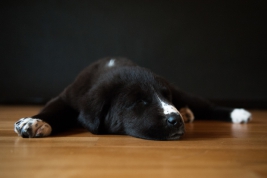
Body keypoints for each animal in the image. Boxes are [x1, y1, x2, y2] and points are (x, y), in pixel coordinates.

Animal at [15, 57, 253, 140]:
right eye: (139, 101)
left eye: (166, 96)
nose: (175, 120)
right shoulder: (67, 97)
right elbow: (53, 109)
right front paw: (33, 122)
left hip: (183, 93)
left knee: (206, 105)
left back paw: (239, 113)